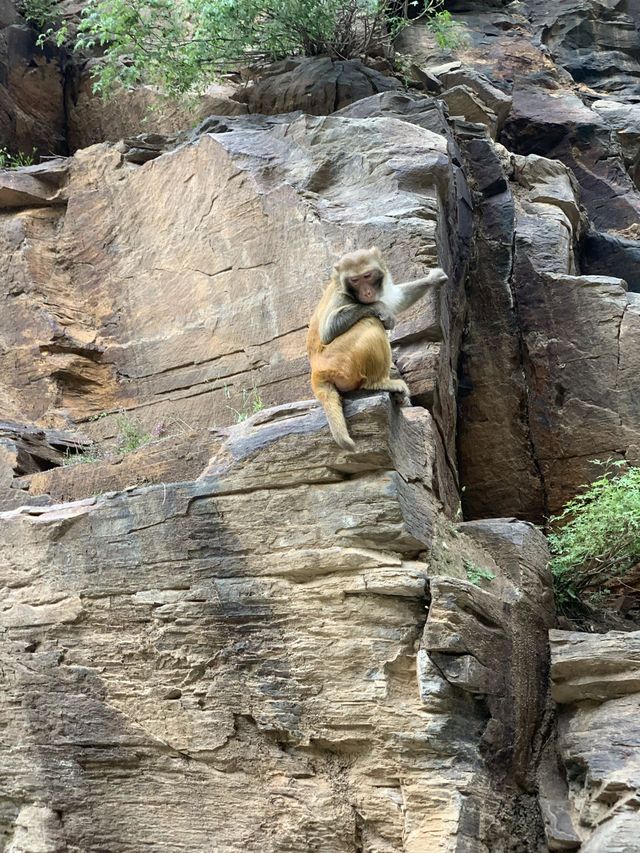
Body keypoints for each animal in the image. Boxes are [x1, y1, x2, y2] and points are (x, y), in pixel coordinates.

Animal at [308, 248, 448, 452]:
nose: (367, 292)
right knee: (370, 321)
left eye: (367, 276)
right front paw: (380, 307)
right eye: (355, 280)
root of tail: (317, 374)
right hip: (339, 362)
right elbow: (328, 330)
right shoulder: (340, 296)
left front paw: (433, 279)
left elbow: (395, 299)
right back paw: (379, 383)